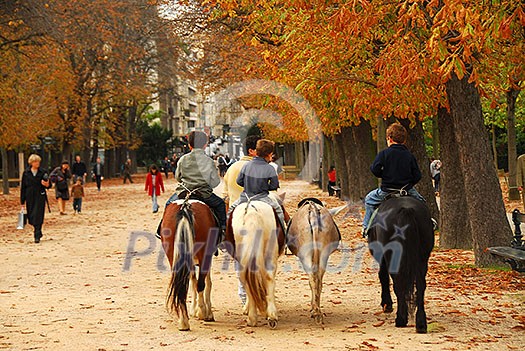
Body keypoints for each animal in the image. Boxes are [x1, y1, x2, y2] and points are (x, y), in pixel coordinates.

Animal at [159, 199, 218, 332]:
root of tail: (185, 207)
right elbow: (205, 283)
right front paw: (205, 311)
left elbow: (192, 281)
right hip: (204, 255)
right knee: (200, 284)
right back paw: (202, 312)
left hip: (173, 255)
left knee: (181, 285)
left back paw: (183, 321)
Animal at [366, 197, 432, 334]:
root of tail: (406, 210)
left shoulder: (382, 256)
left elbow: (383, 276)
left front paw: (387, 304)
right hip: (422, 258)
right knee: (420, 286)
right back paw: (421, 323)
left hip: (391, 256)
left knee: (398, 283)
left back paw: (401, 318)